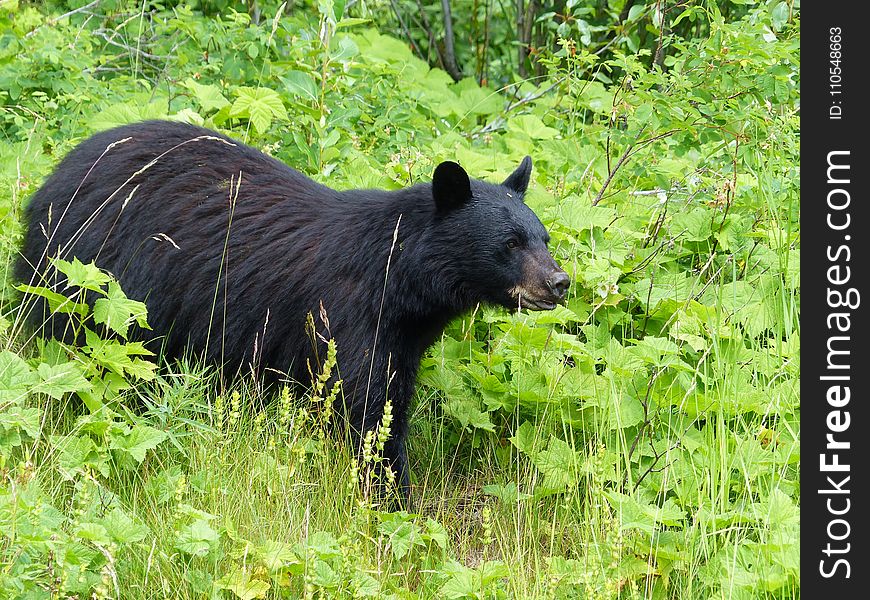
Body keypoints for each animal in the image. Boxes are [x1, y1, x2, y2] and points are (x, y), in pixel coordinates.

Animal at [17, 118, 572, 502]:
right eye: (510, 243)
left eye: (543, 238)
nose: (559, 283)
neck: (399, 275)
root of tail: (53, 179)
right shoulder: (347, 313)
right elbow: (368, 404)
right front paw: (393, 494)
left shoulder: (403, 332)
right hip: (89, 276)